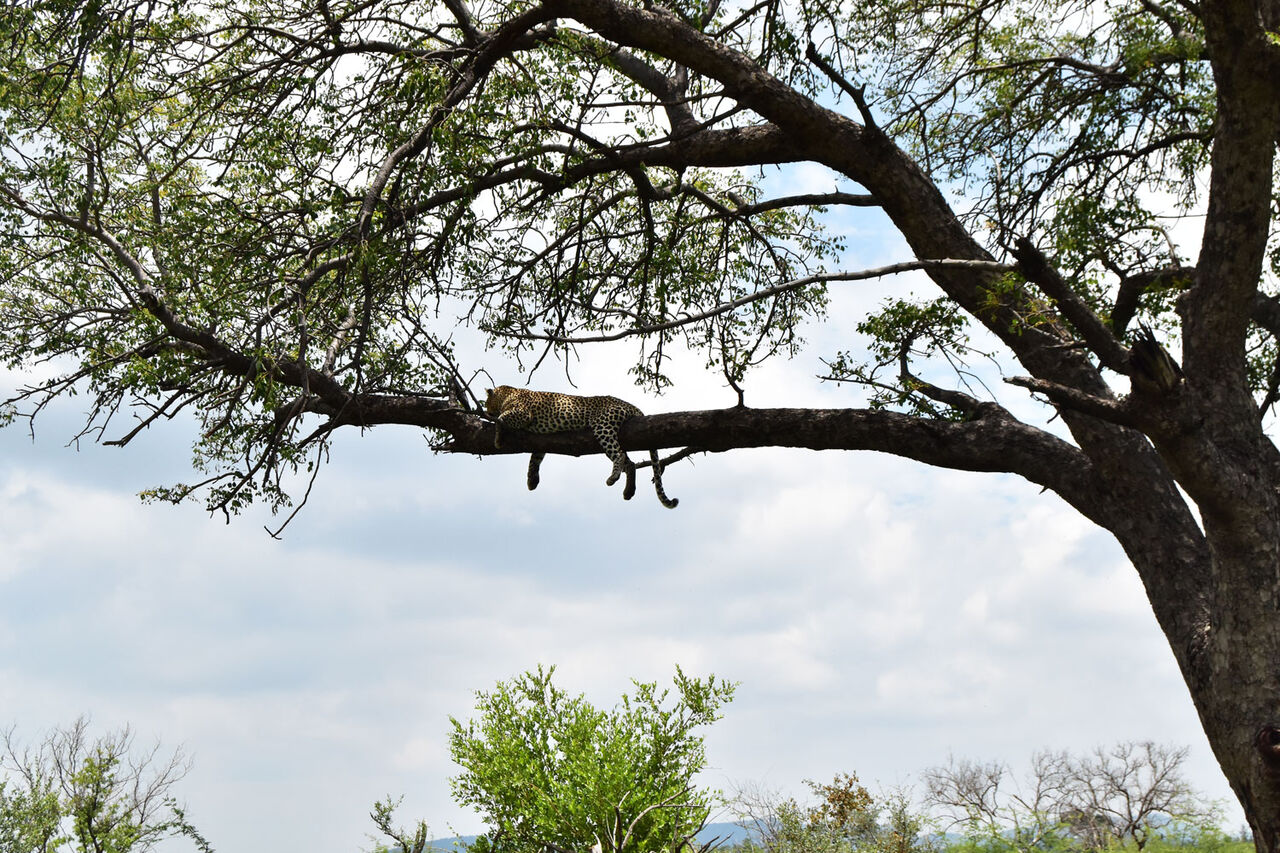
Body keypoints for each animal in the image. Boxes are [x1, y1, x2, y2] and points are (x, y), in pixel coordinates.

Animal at [484, 385, 678, 509]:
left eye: (486, 402)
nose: (485, 411)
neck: (508, 392)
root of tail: (632, 406)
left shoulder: (523, 413)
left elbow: (501, 418)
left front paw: (497, 438)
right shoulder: (540, 440)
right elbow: (535, 458)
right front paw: (532, 480)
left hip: (603, 425)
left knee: (620, 456)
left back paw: (613, 478)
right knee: (629, 463)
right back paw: (628, 491)